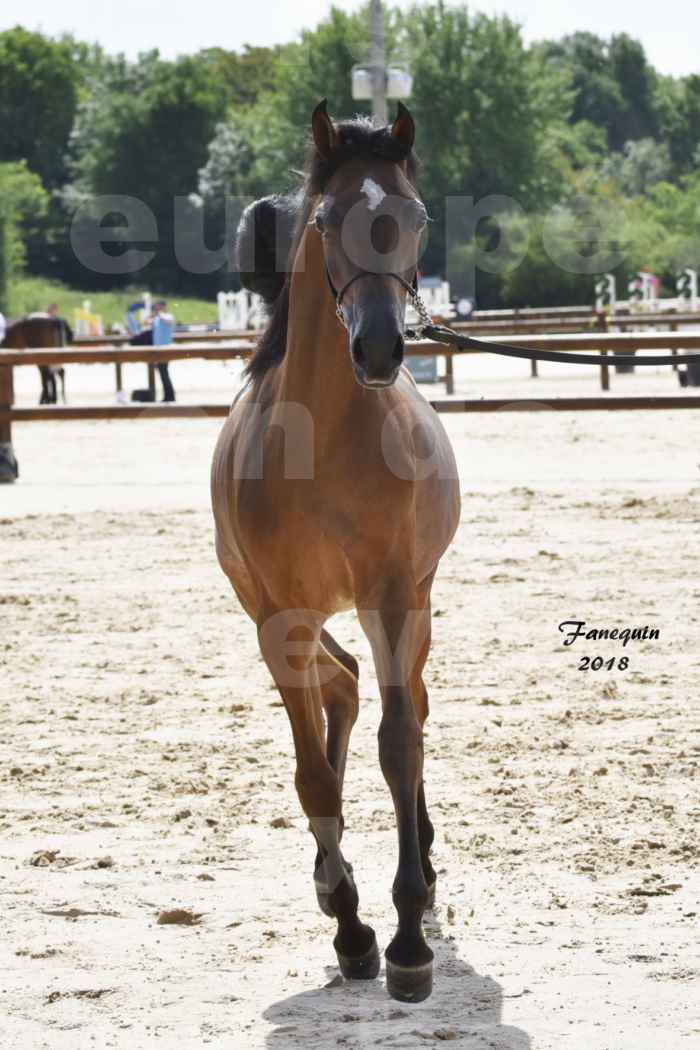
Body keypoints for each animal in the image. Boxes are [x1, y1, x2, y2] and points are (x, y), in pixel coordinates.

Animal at [210, 100, 461, 999]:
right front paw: (352, 927)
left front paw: (408, 938)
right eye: (325, 220)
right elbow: (311, 771)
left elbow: (399, 744)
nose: (382, 349)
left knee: (403, 703)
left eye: (415, 217)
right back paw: (331, 877)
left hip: (415, 604)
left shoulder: (393, 595)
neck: (323, 443)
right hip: (290, 613)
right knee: (343, 689)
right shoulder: (278, 615)